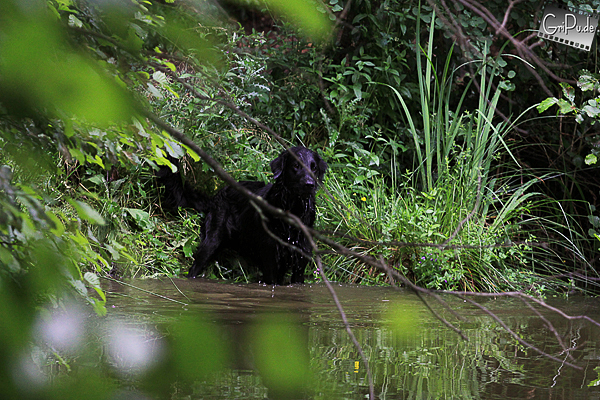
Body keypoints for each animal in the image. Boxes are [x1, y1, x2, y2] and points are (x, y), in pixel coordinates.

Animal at [157, 147, 328, 284]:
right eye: (296, 166)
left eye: (313, 168)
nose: (310, 184)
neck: (293, 211)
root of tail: (216, 196)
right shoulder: (270, 258)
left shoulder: (300, 261)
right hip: (211, 242)